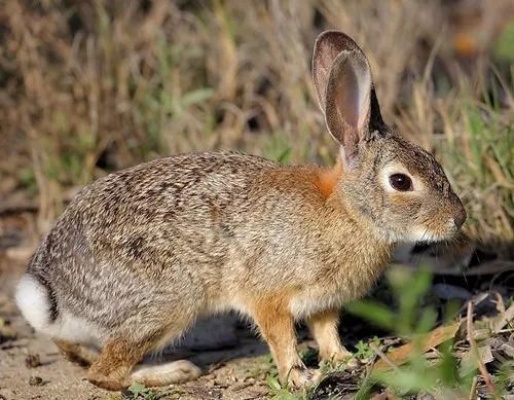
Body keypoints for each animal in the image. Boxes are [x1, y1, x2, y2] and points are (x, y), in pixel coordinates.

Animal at [15, 31, 464, 390]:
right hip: (167, 302)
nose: (458, 219)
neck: (348, 212)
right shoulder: (268, 294)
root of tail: (54, 293)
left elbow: (326, 331)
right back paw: (173, 373)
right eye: (401, 181)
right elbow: (281, 337)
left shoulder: (323, 303)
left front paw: (342, 359)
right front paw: (301, 378)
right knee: (105, 373)